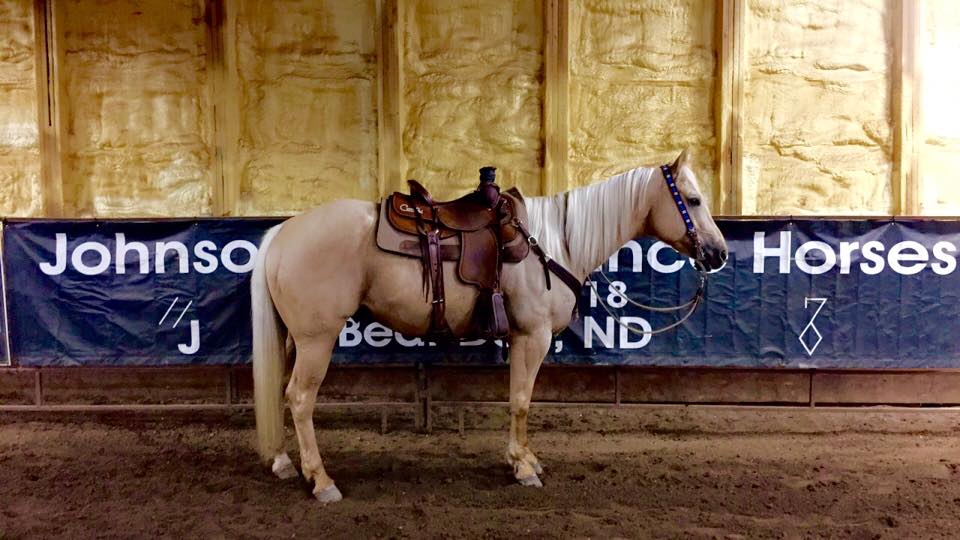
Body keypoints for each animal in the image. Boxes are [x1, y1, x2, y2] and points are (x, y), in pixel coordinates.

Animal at [250, 149, 727, 503]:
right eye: (694, 200)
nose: (720, 253)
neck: (554, 243)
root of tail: (283, 233)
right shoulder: (532, 336)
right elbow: (521, 400)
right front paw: (523, 467)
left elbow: (520, 399)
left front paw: (525, 459)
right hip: (317, 339)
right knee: (300, 399)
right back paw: (321, 481)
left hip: (294, 340)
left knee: (282, 393)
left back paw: (284, 463)